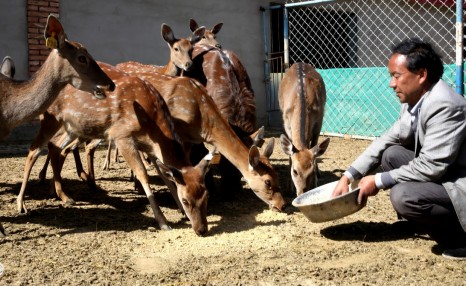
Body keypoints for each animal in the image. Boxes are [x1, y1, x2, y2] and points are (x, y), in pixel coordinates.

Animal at [278, 62, 330, 197]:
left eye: (311, 172)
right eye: (295, 171)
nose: (302, 192)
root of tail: (300, 63)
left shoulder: (319, 119)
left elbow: (315, 145)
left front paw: (316, 181)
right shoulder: (286, 122)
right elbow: (290, 153)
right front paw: (289, 188)